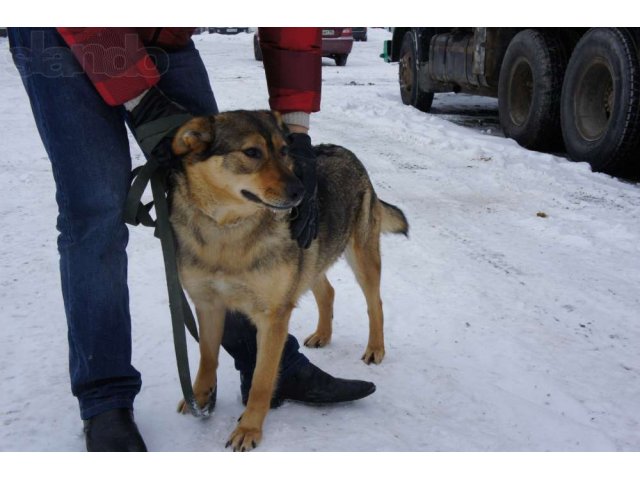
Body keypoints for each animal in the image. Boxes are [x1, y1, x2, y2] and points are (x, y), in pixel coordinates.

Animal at [169, 110, 410, 452]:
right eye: (252, 152)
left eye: (284, 151)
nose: (301, 191)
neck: (228, 232)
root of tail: (344, 151)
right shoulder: (208, 305)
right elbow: (207, 358)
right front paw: (200, 400)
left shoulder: (273, 317)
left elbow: (261, 380)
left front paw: (249, 429)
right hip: (311, 262)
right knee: (328, 292)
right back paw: (323, 334)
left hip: (361, 258)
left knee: (374, 302)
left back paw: (375, 348)